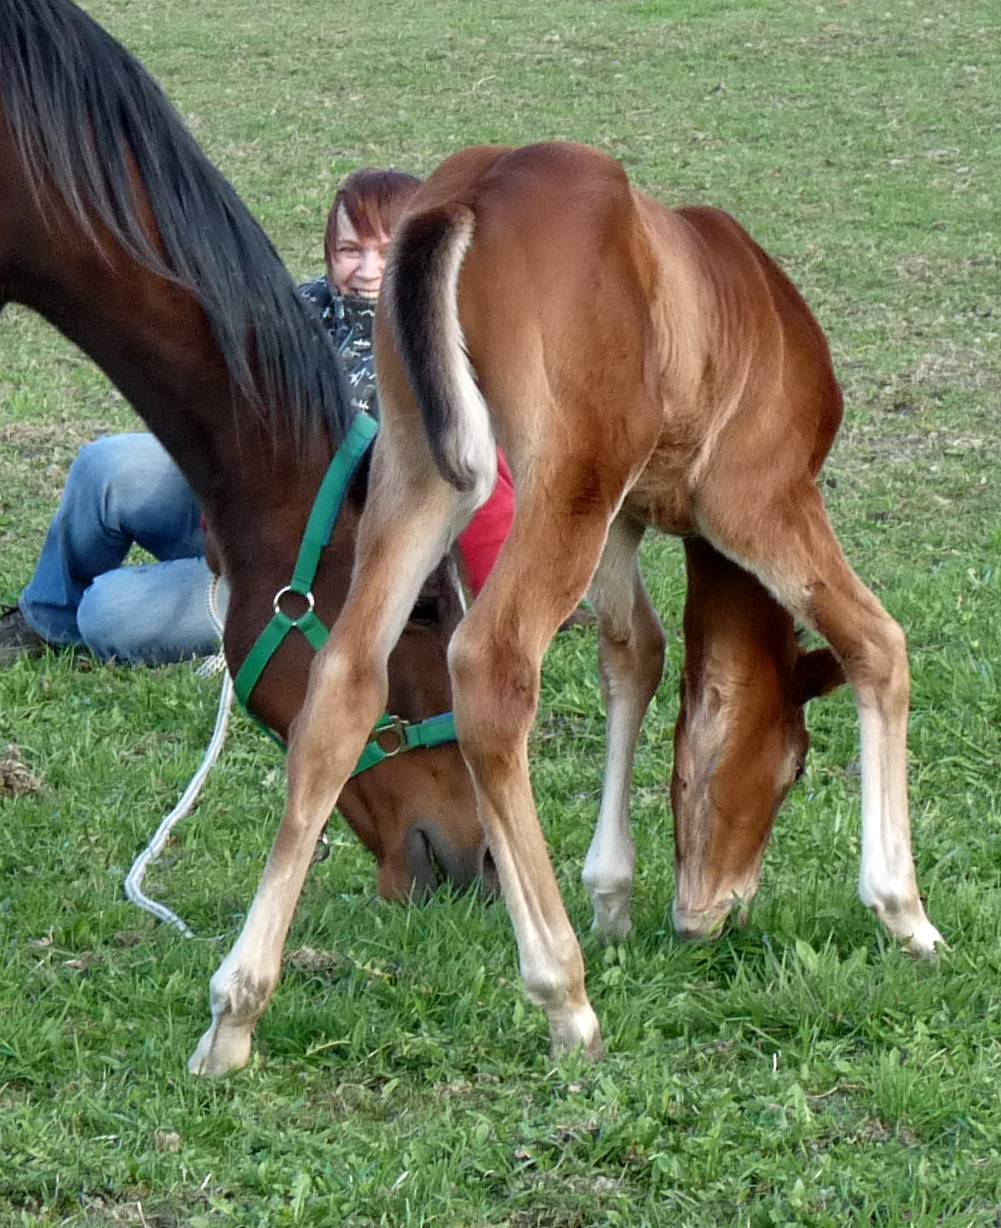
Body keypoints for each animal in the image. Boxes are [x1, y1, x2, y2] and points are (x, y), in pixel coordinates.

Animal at [187, 139, 948, 1070]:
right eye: (796, 767)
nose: (710, 917)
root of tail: (470, 192)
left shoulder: (623, 517)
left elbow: (636, 654)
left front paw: (611, 894)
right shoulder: (758, 499)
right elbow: (875, 642)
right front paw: (904, 911)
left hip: (421, 471)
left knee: (342, 682)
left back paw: (235, 1014)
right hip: (562, 480)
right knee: (490, 666)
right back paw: (563, 995)